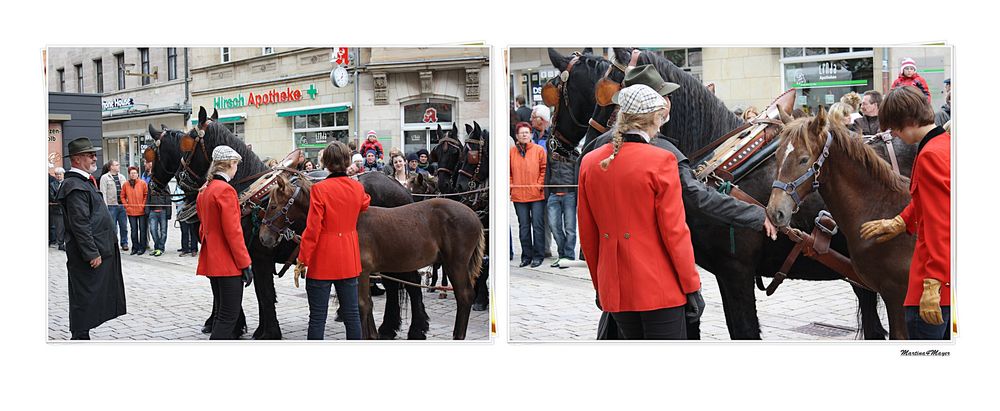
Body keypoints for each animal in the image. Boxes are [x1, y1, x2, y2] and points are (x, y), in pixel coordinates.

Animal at [262, 175, 484, 340]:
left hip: (455, 264)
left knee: (464, 296)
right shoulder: (362, 273)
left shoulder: (362, 272)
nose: (263, 237)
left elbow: (361, 304)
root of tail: (474, 216)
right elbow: (365, 304)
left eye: (272, 206)